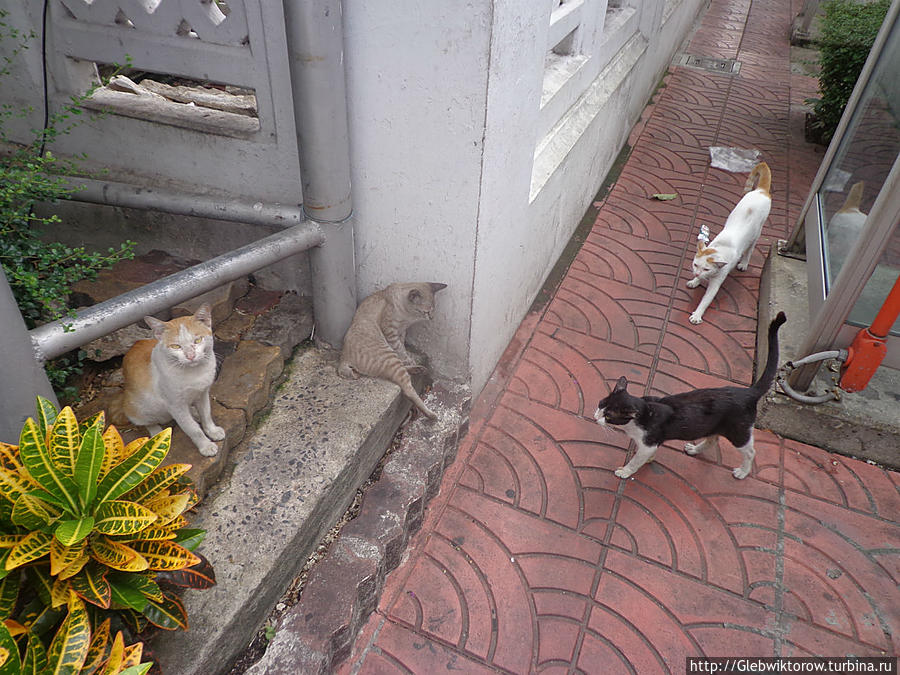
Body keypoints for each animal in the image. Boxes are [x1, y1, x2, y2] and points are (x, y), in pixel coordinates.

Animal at [118, 304, 224, 456]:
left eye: (197, 340)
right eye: (176, 346)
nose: (190, 356)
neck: (194, 372)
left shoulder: (202, 393)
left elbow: (206, 414)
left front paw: (212, 430)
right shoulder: (176, 406)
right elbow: (193, 429)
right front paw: (205, 445)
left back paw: (194, 412)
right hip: (138, 408)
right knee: (147, 422)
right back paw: (156, 432)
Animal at [338, 280, 446, 418]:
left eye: (433, 310)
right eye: (426, 312)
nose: (431, 318)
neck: (406, 317)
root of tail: (343, 357)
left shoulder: (401, 332)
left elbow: (402, 348)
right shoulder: (391, 333)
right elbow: (401, 350)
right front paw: (408, 358)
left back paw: (419, 369)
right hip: (389, 357)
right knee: (408, 390)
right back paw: (430, 414)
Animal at [596, 312, 784, 480]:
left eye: (609, 415)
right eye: (600, 405)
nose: (596, 417)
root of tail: (749, 391)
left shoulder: (648, 443)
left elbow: (636, 461)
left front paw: (626, 471)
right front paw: (649, 460)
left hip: (739, 433)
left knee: (751, 452)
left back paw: (742, 472)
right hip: (713, 426)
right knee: (712, 440)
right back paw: (694, 450)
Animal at [684, 161, 768, 324]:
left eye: (706, 269)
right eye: (695, 265)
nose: (696, 273)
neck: (719, 248)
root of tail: (761, 191)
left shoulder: (716, 283)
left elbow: (706, 300)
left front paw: (697, 315)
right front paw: (695, 281)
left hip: (756, 234)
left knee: (750, 249)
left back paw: (744, 264)